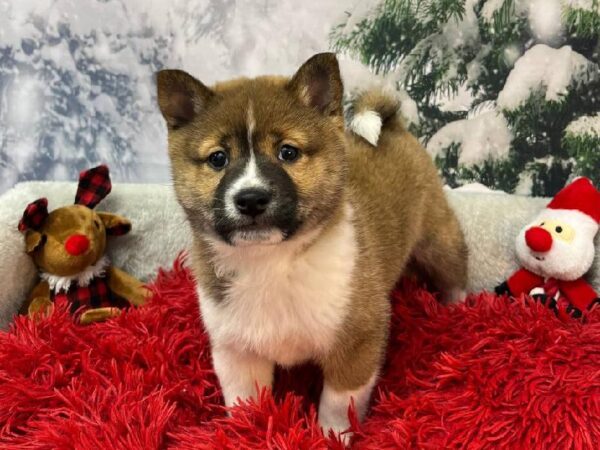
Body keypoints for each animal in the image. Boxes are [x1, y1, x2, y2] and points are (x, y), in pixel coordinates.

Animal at [156, 53, 468, 442]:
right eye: (217, 158)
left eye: (288, 152)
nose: (251, 198)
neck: (272, 262)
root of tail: (393, 126)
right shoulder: (237, 352)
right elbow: (245, 403)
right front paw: (249, 431)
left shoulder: (357, 343)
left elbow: (338, 405)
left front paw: (330, 437)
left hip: (437, 241)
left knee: (455, 271)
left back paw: (458, 308)